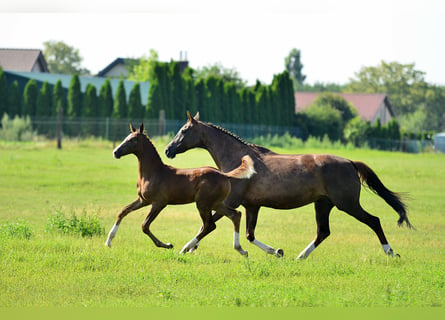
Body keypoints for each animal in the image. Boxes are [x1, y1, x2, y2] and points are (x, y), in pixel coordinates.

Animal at [104, 123, 255, 255]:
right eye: (126, 137)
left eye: (133, 140)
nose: (116, 152)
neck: (153, 172)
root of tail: (224, 175)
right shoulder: (143, 200)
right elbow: (123, 211)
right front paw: (108, 241)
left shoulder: (159, 203)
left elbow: (144, 225)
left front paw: (167, 245)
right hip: (216, 203)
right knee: (235, 215)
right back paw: (241, 250)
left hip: (203, 204)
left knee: (209, 225)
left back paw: (185, 248)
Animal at [166, 111, 412, 258]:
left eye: (184, 130)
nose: (168, 150)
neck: (239, 161)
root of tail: (350, 162)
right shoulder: (252, 206)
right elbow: (249, 234)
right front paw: (277, 251)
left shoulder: (231, 202)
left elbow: (208, 226)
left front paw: (185, 248)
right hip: (323, 204)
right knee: (323, 232)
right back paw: (300, 256)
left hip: (347, 204)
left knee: (374, 221)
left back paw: (391, 252)